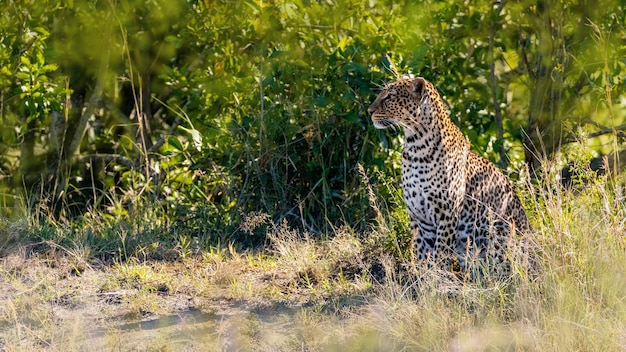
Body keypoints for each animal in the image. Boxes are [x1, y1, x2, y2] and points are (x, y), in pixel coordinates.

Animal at [368, 76, 528, 276]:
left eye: (389, 96)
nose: (369, 111)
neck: (416, 147)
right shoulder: (418, 217)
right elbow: (421, 251)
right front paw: (424, 279)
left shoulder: (446, 213)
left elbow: (441, 253)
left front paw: (439, 278)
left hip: (499, 232)